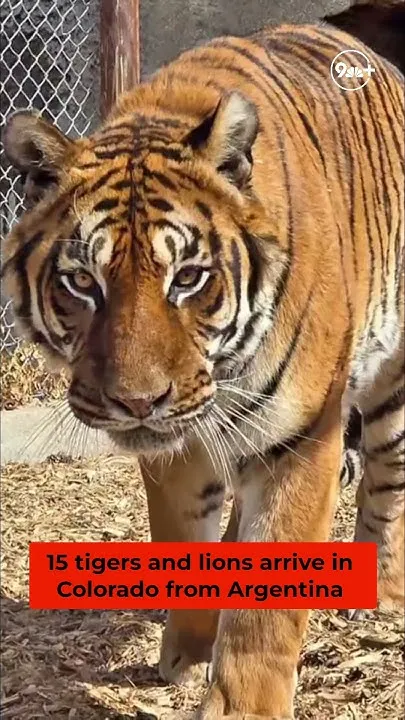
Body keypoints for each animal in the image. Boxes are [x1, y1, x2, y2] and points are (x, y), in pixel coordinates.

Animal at [2, 17, 404, 720]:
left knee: (387, 480)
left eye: (187, 278)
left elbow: (267, 608)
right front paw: (188, 657)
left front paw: (243, 706)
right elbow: (182, 536)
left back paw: (377, 591)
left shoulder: (304, 436)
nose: (137, 402)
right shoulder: (176, 442)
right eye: (82, 282)